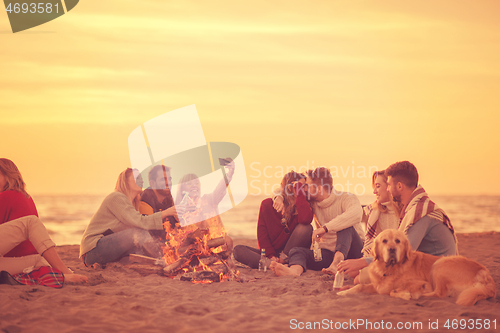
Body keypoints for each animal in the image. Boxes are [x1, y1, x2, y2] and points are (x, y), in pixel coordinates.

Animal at [336, 228, 496, 304]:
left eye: (398, 241)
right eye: (384, 241)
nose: (392, 249)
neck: (390, 269)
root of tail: (485, 275)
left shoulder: (417, 281)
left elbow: (393, 291)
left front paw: (406, 294)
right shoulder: (377, 286)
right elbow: (359, 286)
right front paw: (343, 292)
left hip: (439, 264)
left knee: (440, 293)